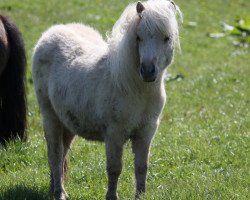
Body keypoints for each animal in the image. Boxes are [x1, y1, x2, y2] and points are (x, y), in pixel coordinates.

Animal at [32, 0, 182, 199]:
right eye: (139, 37)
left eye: (166, 38)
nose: (148, 71)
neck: (136, 89)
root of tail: (50, 34)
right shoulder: (114, 134)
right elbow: (114, 168)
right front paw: (111, 196)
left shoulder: (146, 132)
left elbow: (141, 167)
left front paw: (140, 195)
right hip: (51, 117)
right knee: (55, 155)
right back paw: (59, 193)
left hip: (67, 123)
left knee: (61, 155)